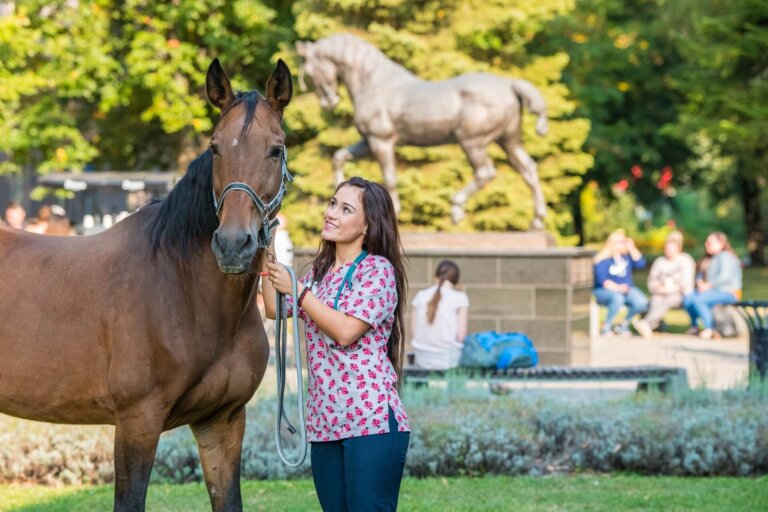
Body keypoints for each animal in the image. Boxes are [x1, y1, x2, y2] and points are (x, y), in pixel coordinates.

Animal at [0, 58, 292, 510]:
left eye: (276, 150)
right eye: (215, 147)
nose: (232, 245)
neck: (185, 292)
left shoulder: (223, 421)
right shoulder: (137, 420)